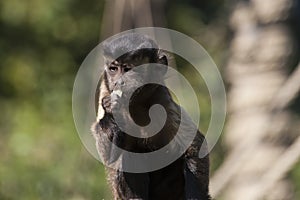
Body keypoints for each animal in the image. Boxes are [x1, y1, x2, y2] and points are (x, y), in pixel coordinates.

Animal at [90, 33, 210, 199]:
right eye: (113, 69)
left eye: (128, 69)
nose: (118, 83)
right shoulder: (105, 90)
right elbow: (109, 157)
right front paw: (110, 113)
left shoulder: (162, 98)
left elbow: (194, 146)